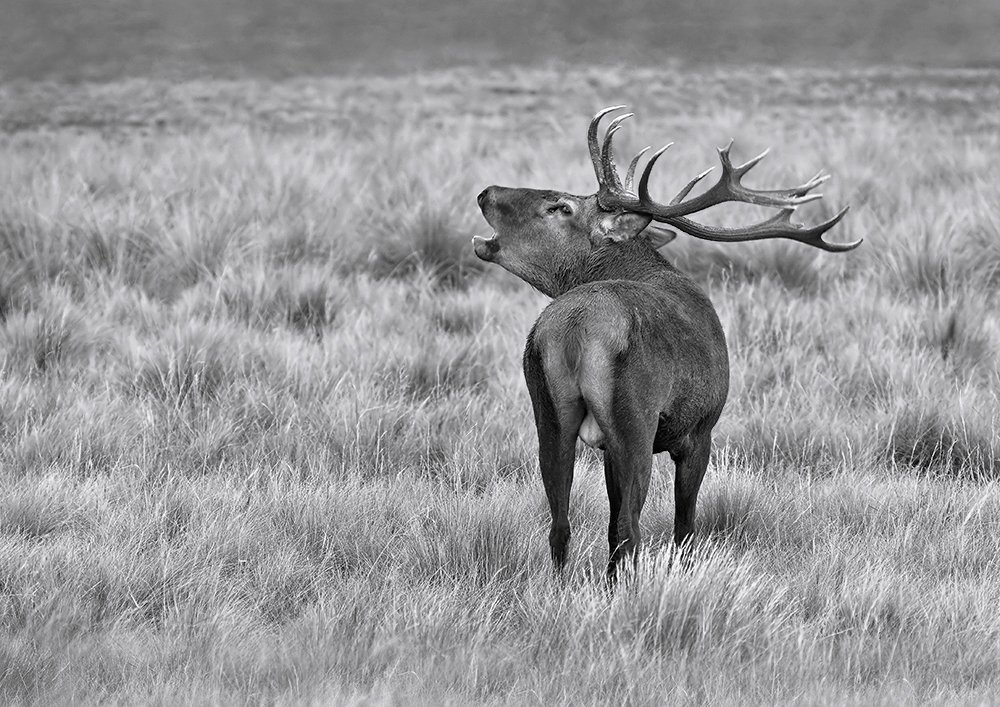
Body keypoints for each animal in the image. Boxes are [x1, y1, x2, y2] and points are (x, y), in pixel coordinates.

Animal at [472, 106, 861, 578]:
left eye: (560, 206)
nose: (485, 193)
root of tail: (574, 331)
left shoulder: (608, 446)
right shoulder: (700, 430)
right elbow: (685, 528)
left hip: (548, 411)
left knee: (561, 524)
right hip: (634, 422)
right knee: (629, 529)